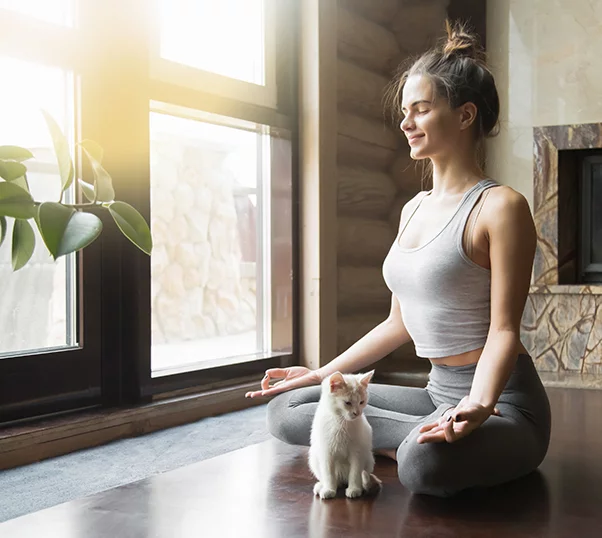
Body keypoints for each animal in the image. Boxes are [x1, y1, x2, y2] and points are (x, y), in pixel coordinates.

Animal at [310, 368, 380, 498]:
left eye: (361, 402)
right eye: (347, 403)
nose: (357, 413)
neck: (341, 421)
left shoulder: (357, 451)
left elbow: (355, 472)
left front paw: (354, 489)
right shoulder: (326, 452)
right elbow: (329, 474)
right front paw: (329, 489)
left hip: (368, 457)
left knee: (362, 474)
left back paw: (363, 484)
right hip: (314, 457)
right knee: (333, 478)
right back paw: (322, 486)